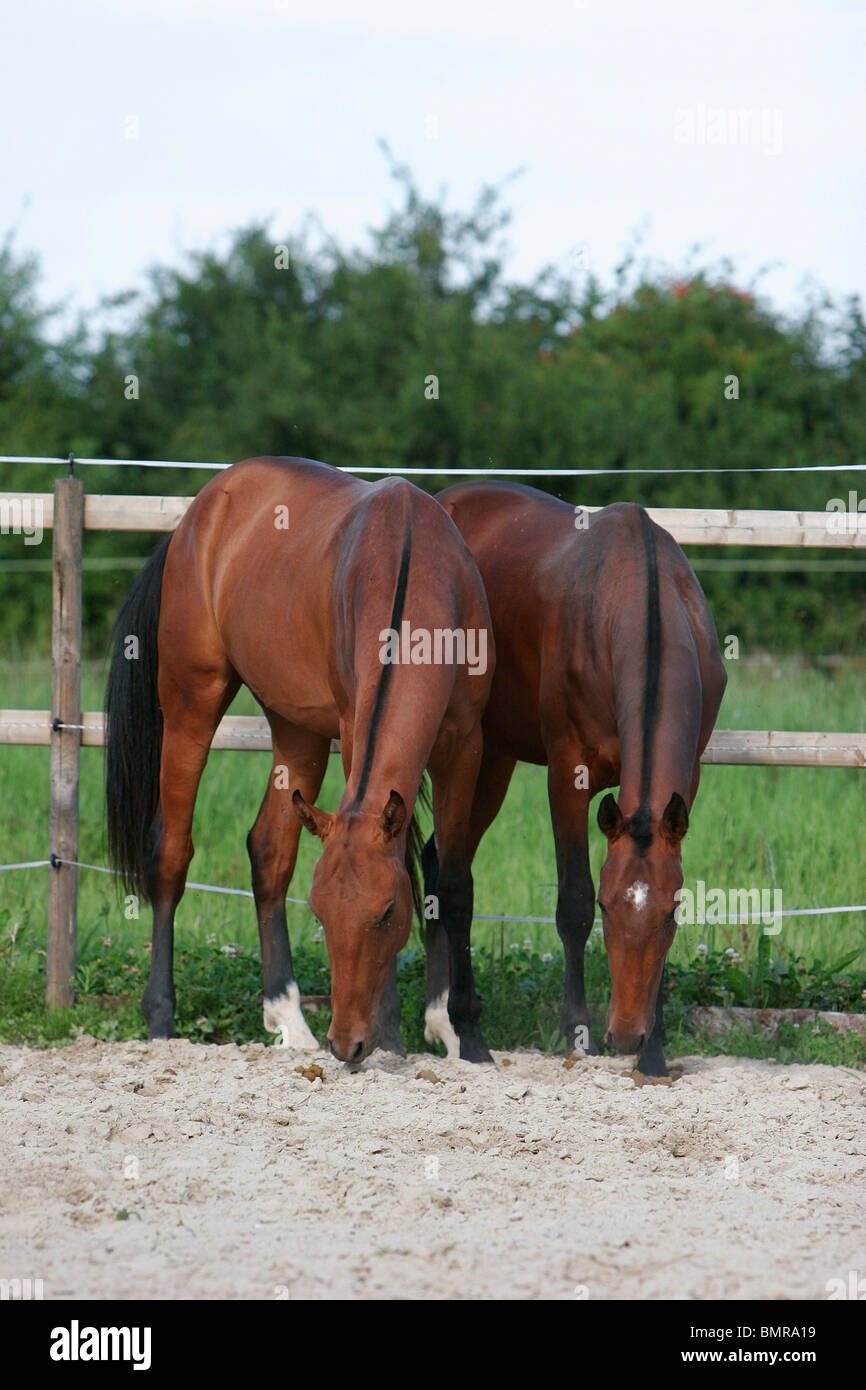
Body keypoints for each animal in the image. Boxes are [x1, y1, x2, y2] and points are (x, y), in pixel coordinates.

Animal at [105, 456, 495, 1063]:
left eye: (387, 913)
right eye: (322, 913)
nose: (347, 1042)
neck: (417, 575)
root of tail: (195, 516)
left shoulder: (464, 744)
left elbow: (453, 883)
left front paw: (467, 1036)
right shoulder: (357, 734)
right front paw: (392, 1035)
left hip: (298, 733)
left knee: (269, 852)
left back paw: (289, 1021)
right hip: (192, 703)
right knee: (170, 852)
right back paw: (162, 1019)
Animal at [426, 482, 727, 1076]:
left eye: (669, 913)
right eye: (609, 908)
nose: (627, 1035)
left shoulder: (689, 780)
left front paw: (655, 1052)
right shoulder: (569, 773)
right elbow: (571, 903)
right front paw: (578, 1032)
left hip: (492, 762)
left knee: (435, 861)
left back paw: (437, 1021)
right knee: (441, 872)